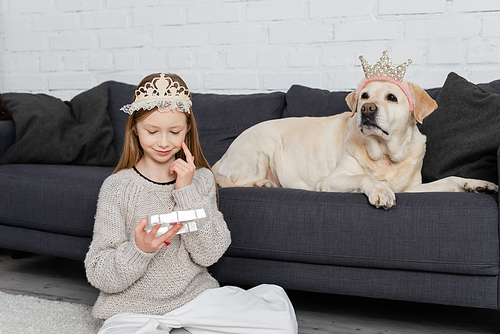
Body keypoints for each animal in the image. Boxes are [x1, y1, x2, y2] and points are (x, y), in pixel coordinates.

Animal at [211, 79, 496, 209]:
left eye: (392, 97)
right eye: (365, 96)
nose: (366, 109)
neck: (386, 156)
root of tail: (218, 161)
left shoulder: (412, 189)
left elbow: (449, 181)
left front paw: (477, 184)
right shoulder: (331, 181)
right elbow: (364, 178)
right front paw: (379, 190)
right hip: (265, 140)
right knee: (236, 182)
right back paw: (264, 183)